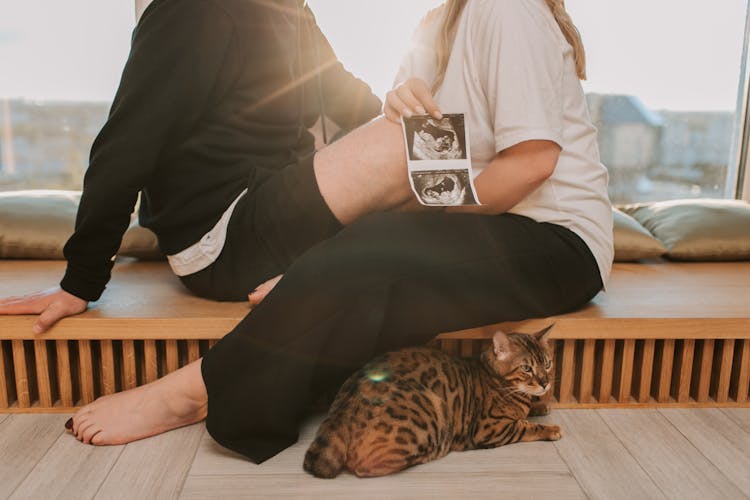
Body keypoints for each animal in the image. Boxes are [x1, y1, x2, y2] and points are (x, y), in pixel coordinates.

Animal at [304, 326, 560, 478]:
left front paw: (541, 404)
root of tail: (339, 412)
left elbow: (529, 410)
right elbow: (525, 426)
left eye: (547, 364)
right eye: (526, 368)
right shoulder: (491, 427)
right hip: (429, 411)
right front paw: (551, 428)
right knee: (364, 467)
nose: (545, 383)